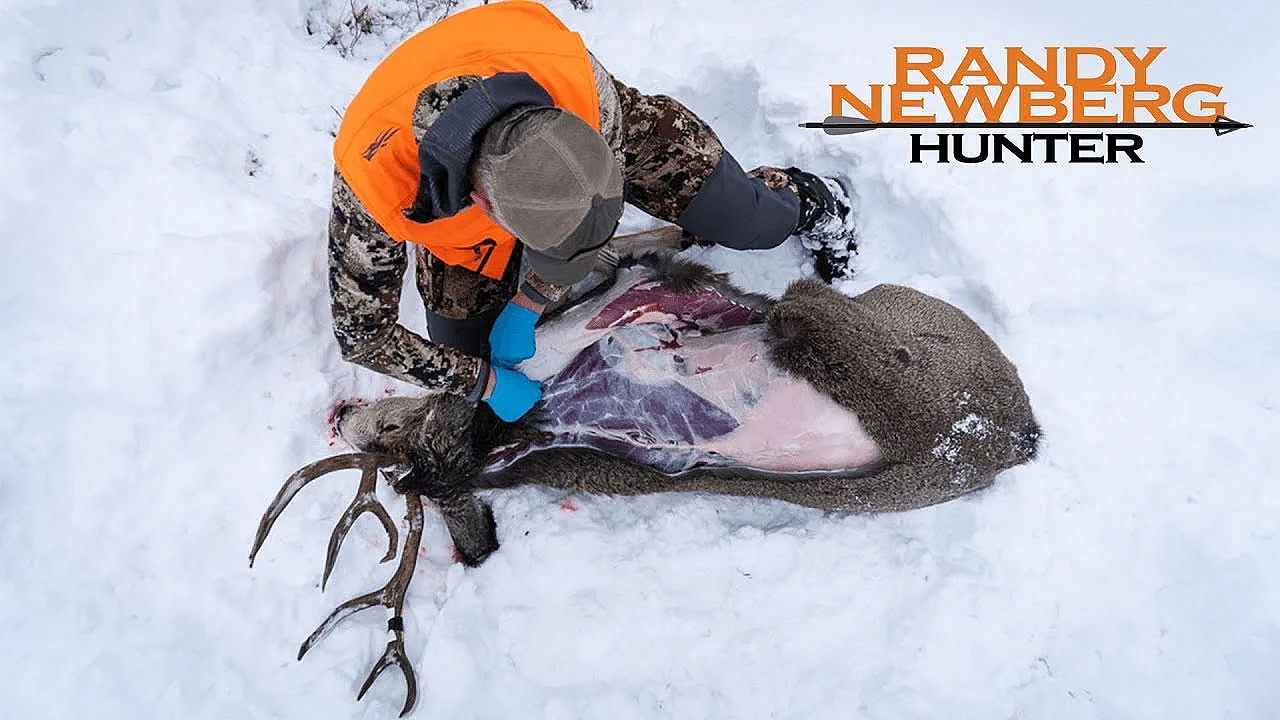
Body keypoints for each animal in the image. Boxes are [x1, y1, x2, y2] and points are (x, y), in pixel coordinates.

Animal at [249, 225, 1040, 716]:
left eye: (391, 431)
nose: (341, 412)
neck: (504, 430)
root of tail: (1011, 434)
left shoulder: (588, 311)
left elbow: (616, 264)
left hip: (894, 333)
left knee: (807, 313)